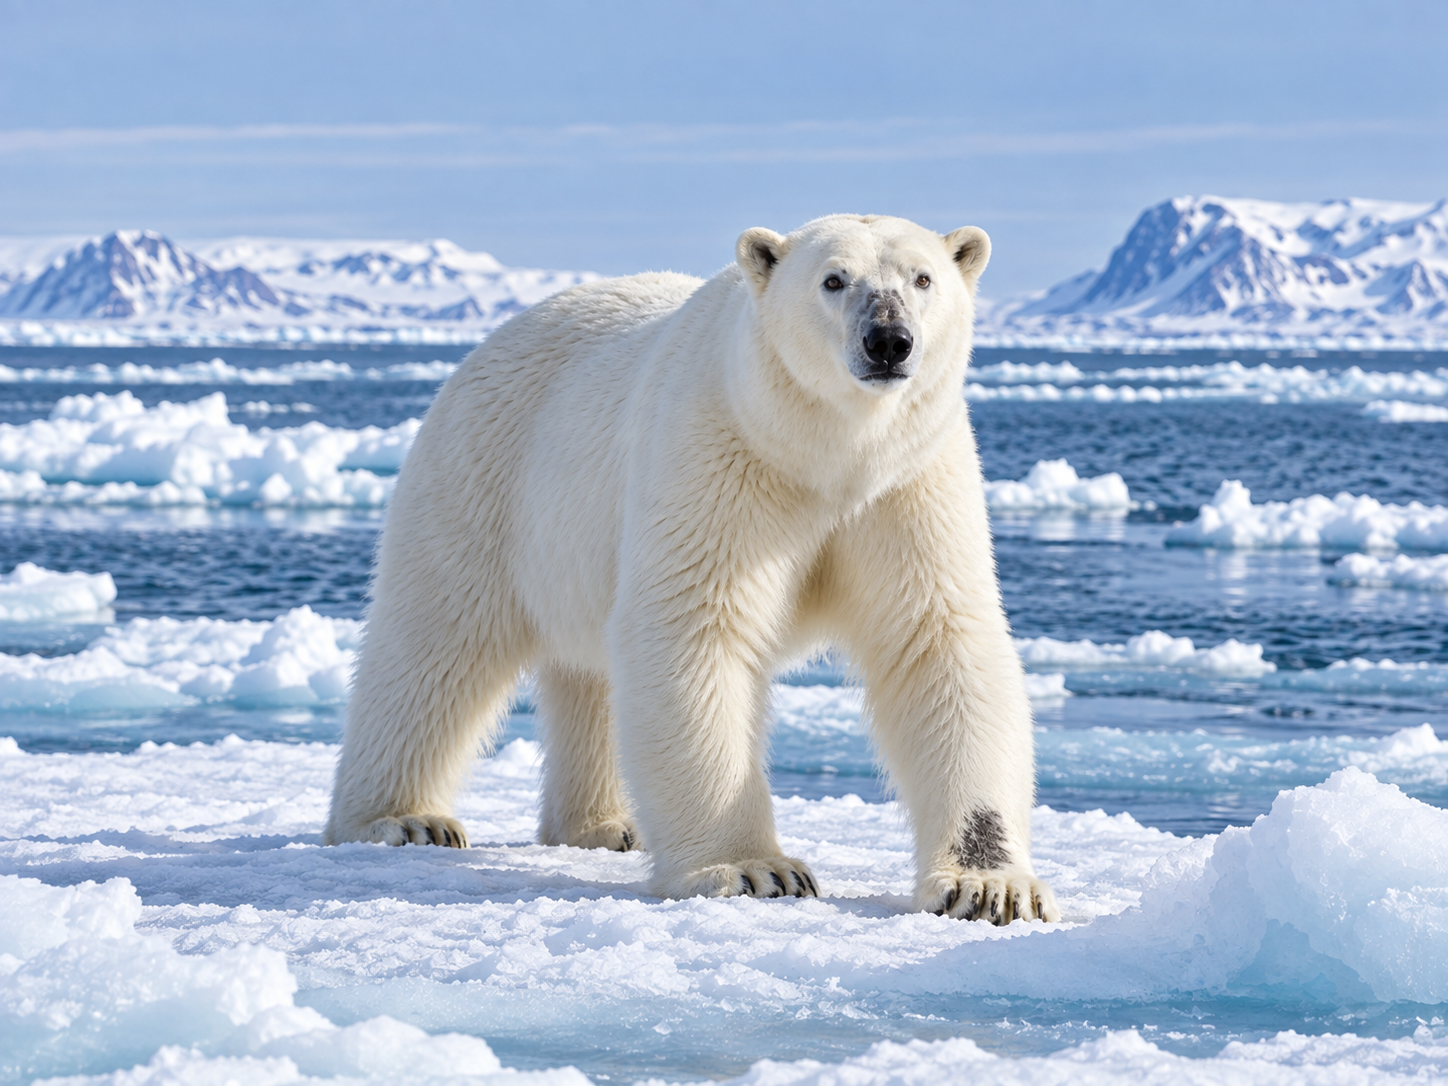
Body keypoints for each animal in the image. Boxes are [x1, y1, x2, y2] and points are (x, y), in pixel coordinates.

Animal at [324, 214, 1060, 925]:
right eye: (833, 279)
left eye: (923, 277)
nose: (889, 341)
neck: (829, 454)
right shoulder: (719, 458)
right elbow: (695, 627)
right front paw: (755, 870)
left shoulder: (910, 486)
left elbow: (938, 641)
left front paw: (991, 889)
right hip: (486, 478)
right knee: (436, 642)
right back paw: (403, 819)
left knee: (590, 674)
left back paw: (608, 826)